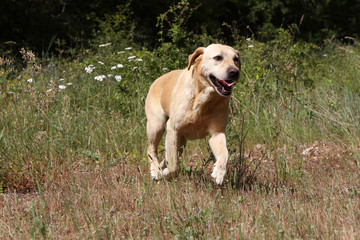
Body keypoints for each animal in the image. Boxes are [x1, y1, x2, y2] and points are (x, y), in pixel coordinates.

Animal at [145, 44, 240, 185]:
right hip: (157, 126)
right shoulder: (173, 129)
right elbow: (174, 166)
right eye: (218, 57)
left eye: (236, 59)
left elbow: (224, 154)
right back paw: (156, 171)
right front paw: (166, 173)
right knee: (151, 149)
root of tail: (156, 80)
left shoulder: (217, 133)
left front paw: (219, 172)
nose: (235, 72)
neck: (204, 100)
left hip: (180, 142)